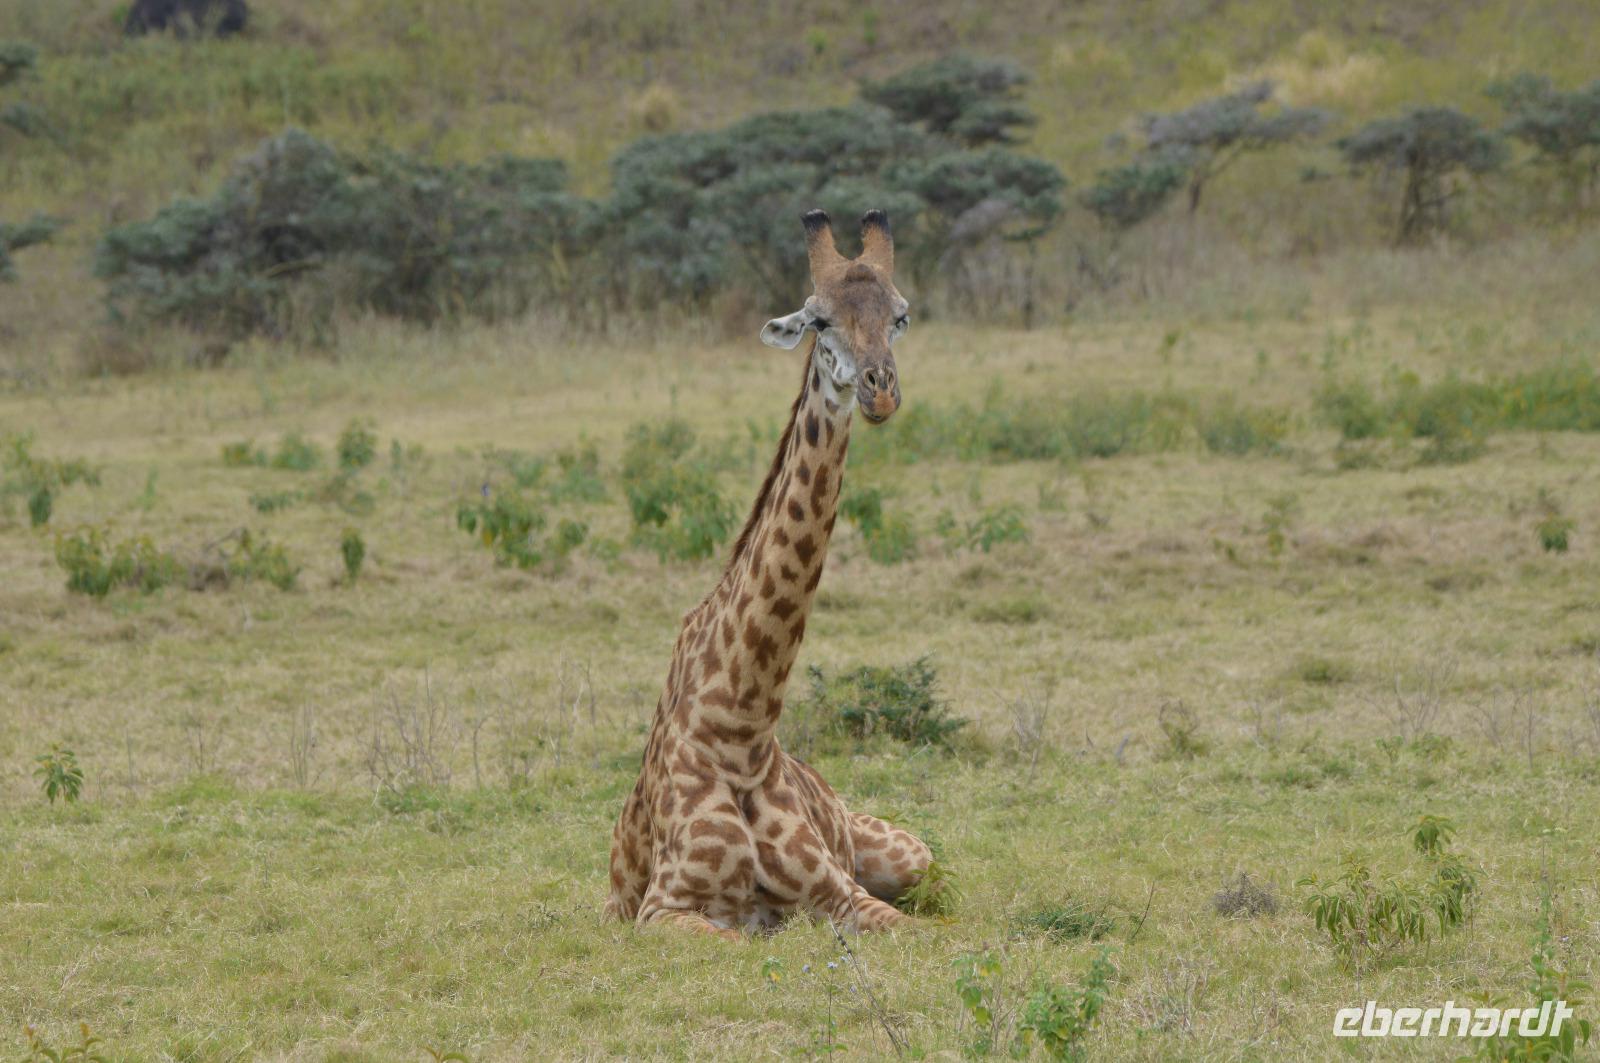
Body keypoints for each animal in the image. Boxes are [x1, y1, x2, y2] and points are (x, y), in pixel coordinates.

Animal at [604, 208, 933, 940]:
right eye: (819, 320)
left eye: (899, 314)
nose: (881, 390)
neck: (743, 730)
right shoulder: (661, 910)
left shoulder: (844, 895)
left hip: (909, 853)